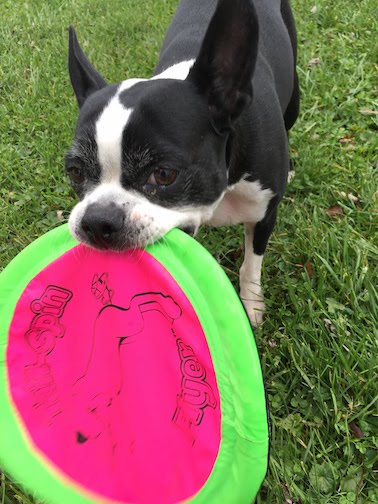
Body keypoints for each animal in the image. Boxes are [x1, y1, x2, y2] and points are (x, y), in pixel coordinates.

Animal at [66, 0, 300, 326]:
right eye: (75, 172)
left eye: (164, 174)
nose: (98, 220)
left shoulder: (265, 214)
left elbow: (251, 264)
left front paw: (252, 304)